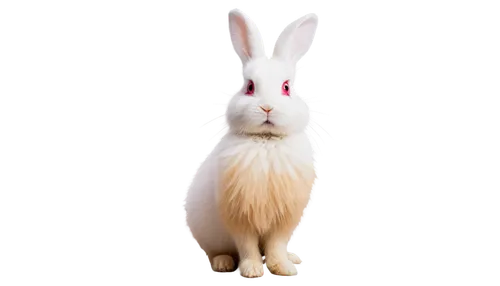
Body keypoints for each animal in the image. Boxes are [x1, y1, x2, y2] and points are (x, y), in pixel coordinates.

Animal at [183, 7, 320, 280]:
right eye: (249, 87)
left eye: (286, 87)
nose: (267, 107)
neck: (266, 142)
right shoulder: (239, 218)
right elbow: (246, 246)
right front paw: (253, 271)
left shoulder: (284, 220)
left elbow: (276, 246)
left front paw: (283, 268)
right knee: (218, 251)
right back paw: (223, 263)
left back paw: (293, 257)